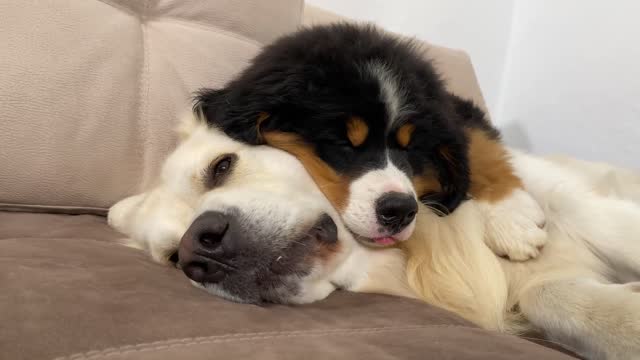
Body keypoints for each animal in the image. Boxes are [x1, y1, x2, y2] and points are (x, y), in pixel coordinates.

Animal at [194, 23, 544, 258]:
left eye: (410, 149)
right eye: (343, 143)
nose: (400, 211)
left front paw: (514, 219)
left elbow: (476, 148)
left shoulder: (455, 113)